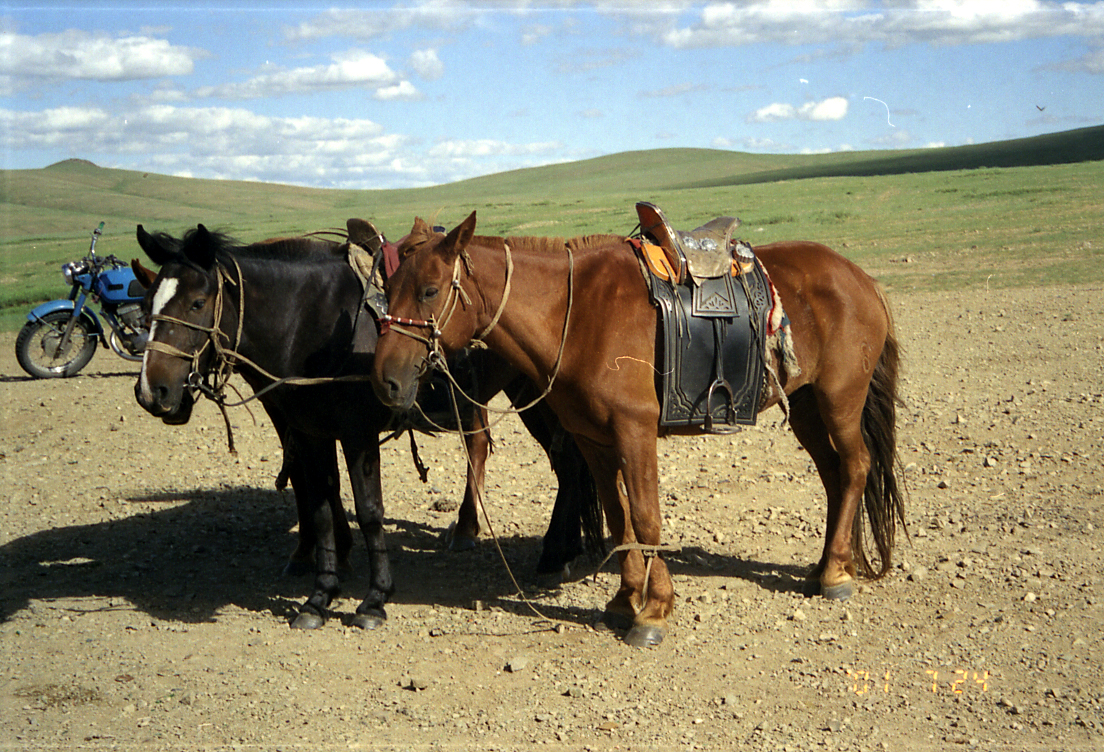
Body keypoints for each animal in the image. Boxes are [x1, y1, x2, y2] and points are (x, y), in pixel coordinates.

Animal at [370, 210, 905, 644]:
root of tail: (863, 279)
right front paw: (625, 600)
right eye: (385, 290)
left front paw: (654, 610)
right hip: (808, 406)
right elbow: (618, 516)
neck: (576, 314)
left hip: (840, 401)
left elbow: (646, 517)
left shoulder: (635, 431)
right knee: (834, 475)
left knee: (855, 466)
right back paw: (826, 565)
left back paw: (835, 575)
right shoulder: (593, 438)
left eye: (430, 290)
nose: (386, 380)